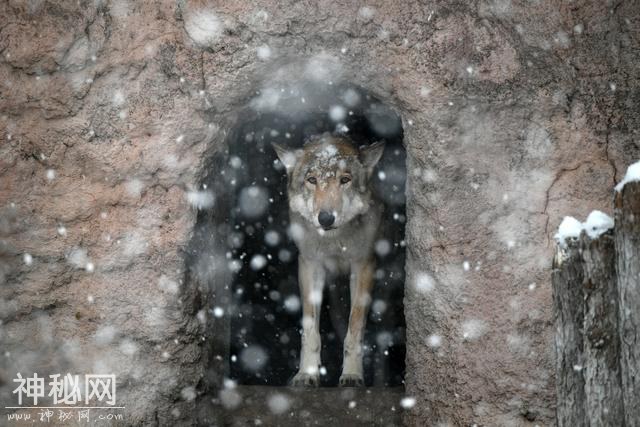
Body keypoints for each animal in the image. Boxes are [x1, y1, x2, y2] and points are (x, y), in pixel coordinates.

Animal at [272, 133, 384, 388]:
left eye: (345, 180)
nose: (325, 218)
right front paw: (307, 374)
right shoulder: (309, 265)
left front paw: (352, 375)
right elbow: (310, 330)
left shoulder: (363, 266)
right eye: (312, 180)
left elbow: (355, 329)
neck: (334, 241)